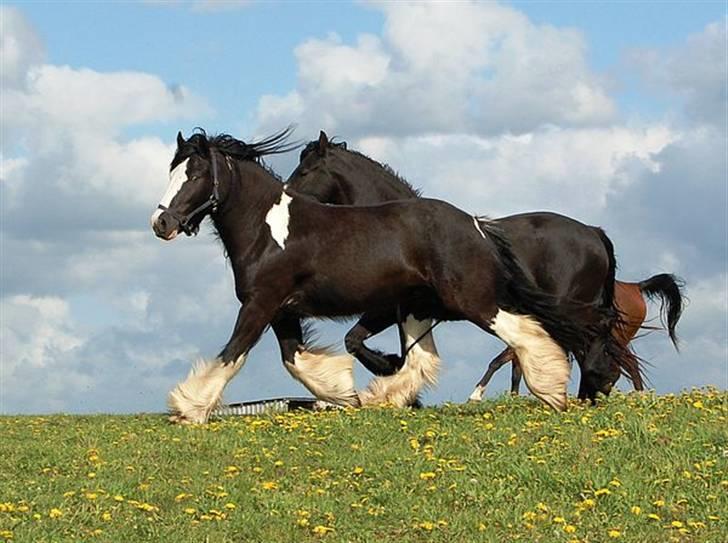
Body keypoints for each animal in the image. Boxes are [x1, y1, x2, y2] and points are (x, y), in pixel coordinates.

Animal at [286, 131, 624, 404]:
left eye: (305, 171)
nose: (288, 195)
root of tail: (593, 232)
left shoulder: (386, 309)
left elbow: (355, 341)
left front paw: (388, 367)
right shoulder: (409, 311)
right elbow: (371, 345)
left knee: (588, 338)